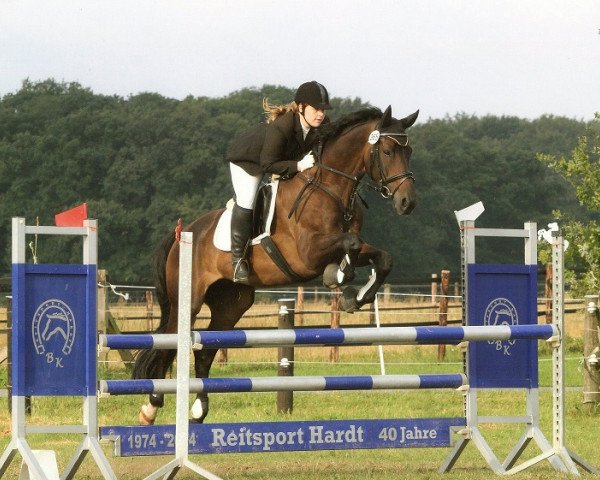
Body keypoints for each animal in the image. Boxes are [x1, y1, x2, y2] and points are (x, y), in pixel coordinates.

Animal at [134, 105, 420, 424]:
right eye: (387, 151)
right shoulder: (308, 253)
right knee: (169, 343)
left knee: (205, 351)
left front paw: (354, 295)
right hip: (188, 301)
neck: (331, 187)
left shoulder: (346, 244)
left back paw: (198, 409)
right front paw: (339, 278)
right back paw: (151, 406)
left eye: (408, 152)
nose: (407, 202)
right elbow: (351, 245)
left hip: (231, 304)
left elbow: (380, 257)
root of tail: (180, 235)